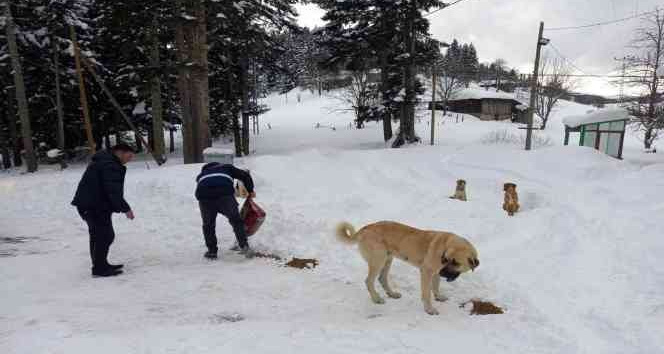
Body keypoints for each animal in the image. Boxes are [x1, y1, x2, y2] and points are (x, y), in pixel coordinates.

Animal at [338, 221, 478, 316]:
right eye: (447, 260)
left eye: (456, 263)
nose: (443, 272)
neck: (445, 245)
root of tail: (365, 228)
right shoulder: (426, 271)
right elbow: (426, 293)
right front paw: (429, 309)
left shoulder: (435, 273)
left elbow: (436, 286)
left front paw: (438, 297)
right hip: (378, 261)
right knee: (368, 281)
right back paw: (376, 299)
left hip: (387, 260)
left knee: (382, 279)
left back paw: (392, 294)